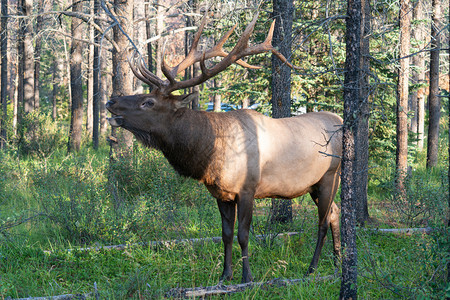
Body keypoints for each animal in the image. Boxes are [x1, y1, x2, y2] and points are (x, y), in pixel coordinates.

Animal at [107, 11, 342, 284]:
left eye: (148, 102)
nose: (111, 101)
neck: (210, 155)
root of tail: (340, 121)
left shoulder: (248, 189)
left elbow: (243, 234)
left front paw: (247, 277)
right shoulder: (221, 193)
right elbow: (226, 234)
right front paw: (225, 275)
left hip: (329, 176)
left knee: (323, 221)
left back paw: (313, 268)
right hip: (313, 185)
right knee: (335, 212)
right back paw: (337, 261)